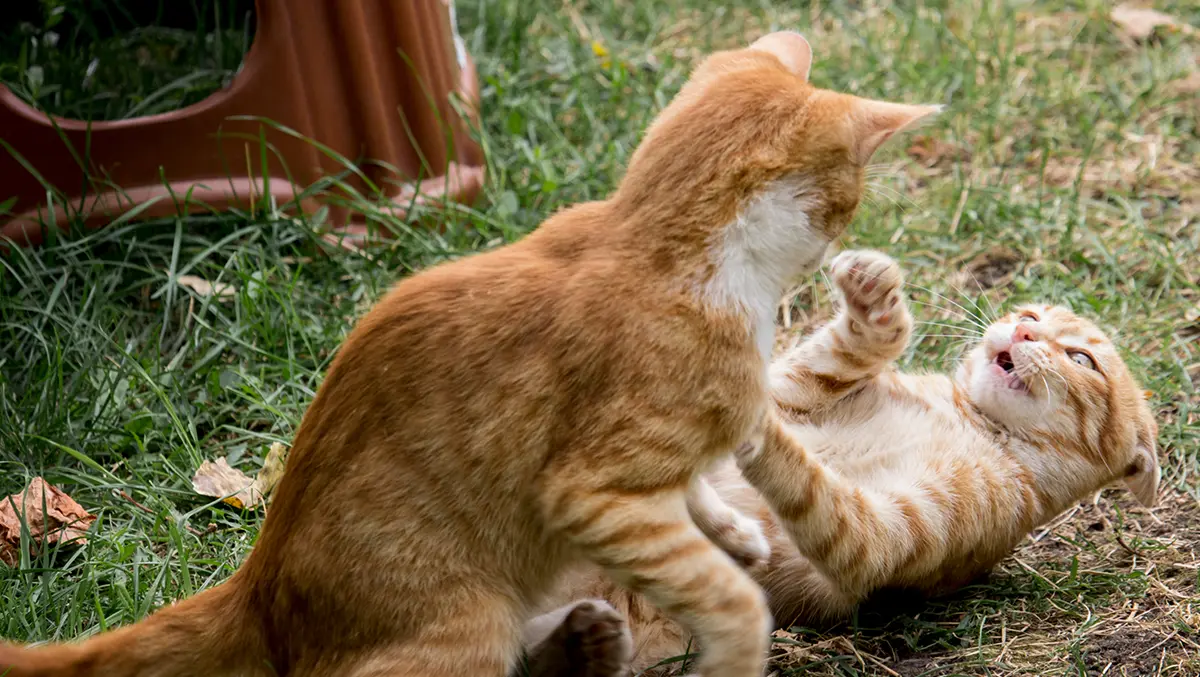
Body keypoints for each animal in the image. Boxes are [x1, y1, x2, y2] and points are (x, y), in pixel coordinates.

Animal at [0, 30, 936, 677]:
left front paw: (730, 524)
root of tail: (258, 584)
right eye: (848, 201)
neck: (662, 248)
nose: (839, 240)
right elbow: (730, 599)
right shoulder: (593, 493)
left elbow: (701, 493)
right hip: (464, 628)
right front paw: (736, 645)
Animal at [528, 250, 1161, 672]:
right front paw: (874, 300)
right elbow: (842, 354)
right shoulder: (796, 387)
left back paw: (586, 643)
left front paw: (750, 423)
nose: (1023, 332)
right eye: (1028, 313)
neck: (966, 417)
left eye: (1080, 358)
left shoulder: (883, 536)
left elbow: (814, 486)